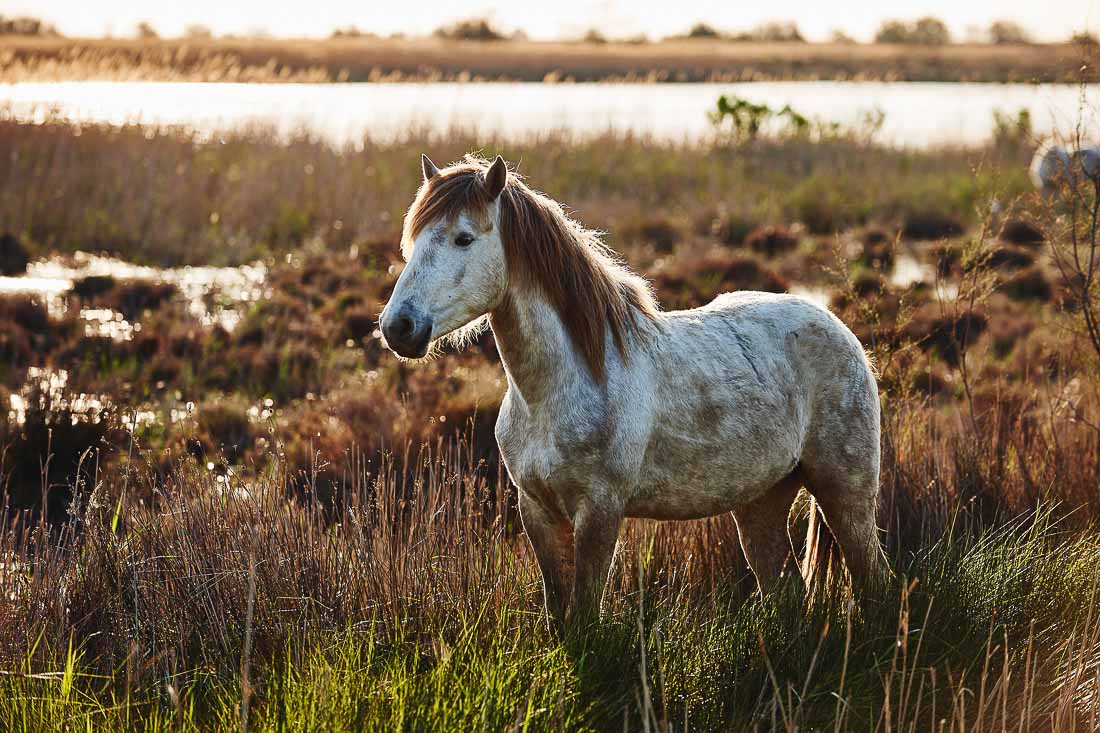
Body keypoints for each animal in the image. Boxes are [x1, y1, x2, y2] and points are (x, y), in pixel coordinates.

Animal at [382, 154, 888, 629]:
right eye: (414, 241)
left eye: (464, 238)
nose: (398, 327)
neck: (560, 388)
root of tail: (840, 330)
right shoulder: (537, 511)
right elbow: (558, 615)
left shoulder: (599, 513)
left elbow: (584, 618)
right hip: (761, 503)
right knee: (787, 591)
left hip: (846, 493)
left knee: (874, 581)